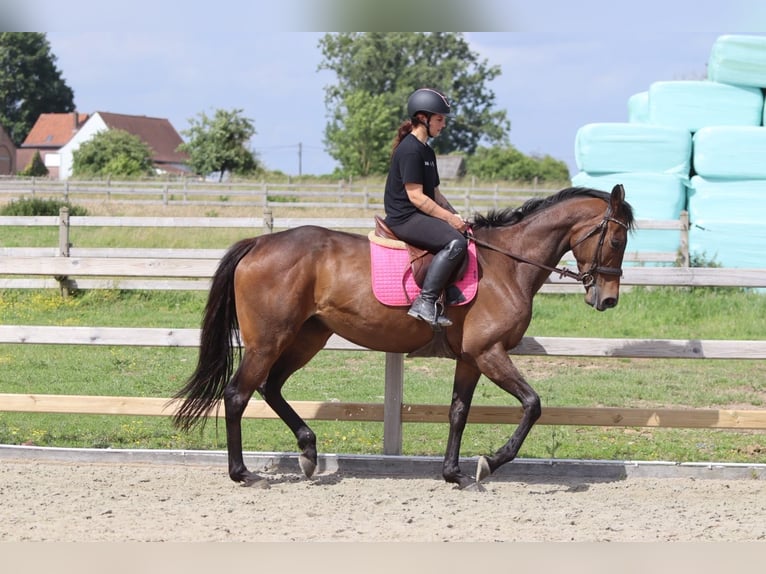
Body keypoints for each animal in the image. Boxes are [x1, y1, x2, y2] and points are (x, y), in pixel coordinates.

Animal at [172, 184, 634, 489]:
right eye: (616, 239)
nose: (608, 299)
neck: (507, 266)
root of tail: (259, 242)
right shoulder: (489, 352)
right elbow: (533, 405)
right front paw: (490, 461)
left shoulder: (471, 358)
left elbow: (458, 412)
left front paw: (453, 473)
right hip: (269, 341)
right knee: (238, 394)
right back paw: (243, 473)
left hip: (307, 338)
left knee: (270, 388)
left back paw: (308, 452)